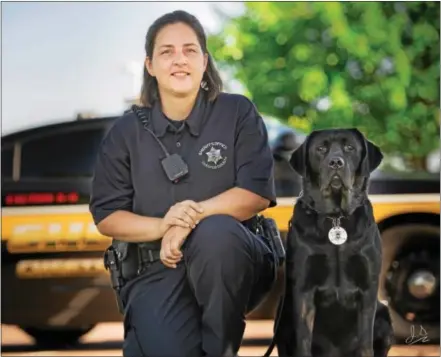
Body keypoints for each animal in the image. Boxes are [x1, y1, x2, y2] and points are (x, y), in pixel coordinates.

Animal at [274, 129, 394, 356]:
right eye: (321, 148)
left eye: (350, 148)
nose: (336, 162)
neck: (336, 218)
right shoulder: (304, 290)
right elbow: (303, 340)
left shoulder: (368, 290)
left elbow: (366, 343)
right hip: (282, 316)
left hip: (384, 314)